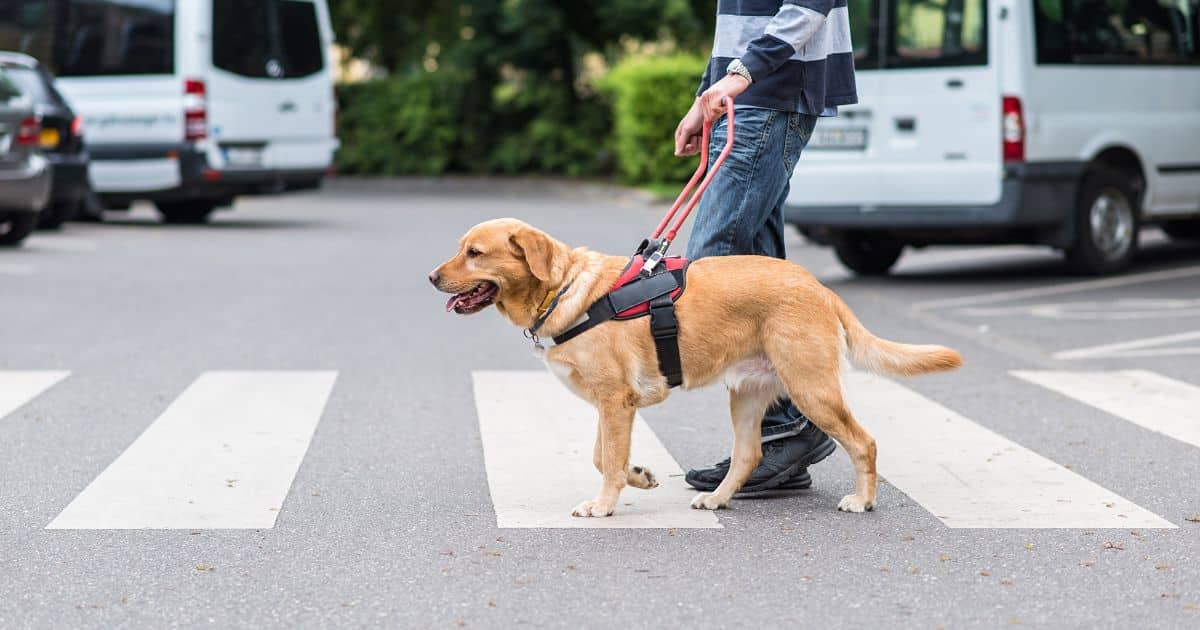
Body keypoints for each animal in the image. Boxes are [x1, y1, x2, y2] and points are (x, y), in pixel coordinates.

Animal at [434, 218, 964, 518]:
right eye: (460, 248)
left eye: (475, 253)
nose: (432, 277)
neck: (563, 289)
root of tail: (818, 286)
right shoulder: (610, 405)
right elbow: (604, 458)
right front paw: (639, 476)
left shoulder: (616, 401)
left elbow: (607, 462)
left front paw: (604, 505)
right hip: (747, 395)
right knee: (749, 455)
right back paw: (718, 499)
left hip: (811, 387)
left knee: (863, 441)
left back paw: (863, 500)